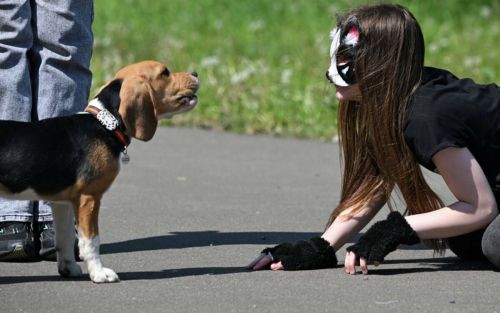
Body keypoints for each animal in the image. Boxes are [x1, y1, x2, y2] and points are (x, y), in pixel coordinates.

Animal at [0, 59, 199, 282]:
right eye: (165, 73)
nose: (195, 73)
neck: (105, 123)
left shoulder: (63, 202)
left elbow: (66, 237)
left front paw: (68, 268)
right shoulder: (89, 197)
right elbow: (91, 240)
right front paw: (99, 273)